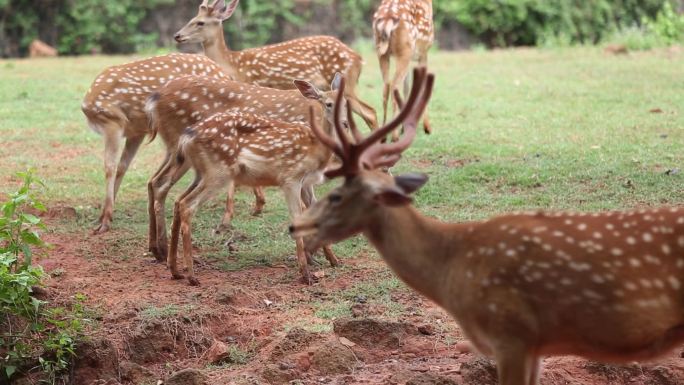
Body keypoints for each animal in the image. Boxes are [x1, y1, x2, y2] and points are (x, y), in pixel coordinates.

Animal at [81, 52, 258, 232]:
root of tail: (224, 74)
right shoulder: (136, 132)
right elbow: (123, 167)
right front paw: (103, 215)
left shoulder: (113, 123)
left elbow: (110, 167)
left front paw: (105, 221)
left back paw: (228, 218)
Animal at [146, 74, 344, 272]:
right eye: (328, 104)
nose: (343, 122)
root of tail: (154, 98)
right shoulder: (292, 178)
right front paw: (308, 262)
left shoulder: (306, 182)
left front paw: (331, 259)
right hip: (197, 160)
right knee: (168, 189)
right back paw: (176, 261)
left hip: (192, 165)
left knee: (162, 188)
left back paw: (165, 257)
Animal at [175, 0, 380, 130]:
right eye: (191, 19)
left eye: (200, 23)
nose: (177, 35)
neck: (232, 63)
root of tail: (358, 57)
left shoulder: (252, 85)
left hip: (348, 83)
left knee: (369, 112)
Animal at [374, 0, 432, 140]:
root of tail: (387, 18)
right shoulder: (423, 52)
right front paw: (427, 127)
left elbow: (407, 87)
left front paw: (403, 127)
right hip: (405, 51)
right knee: (394, 85)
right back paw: (394, 136)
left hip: (382, 53)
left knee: (386, 85)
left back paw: (384, 134)